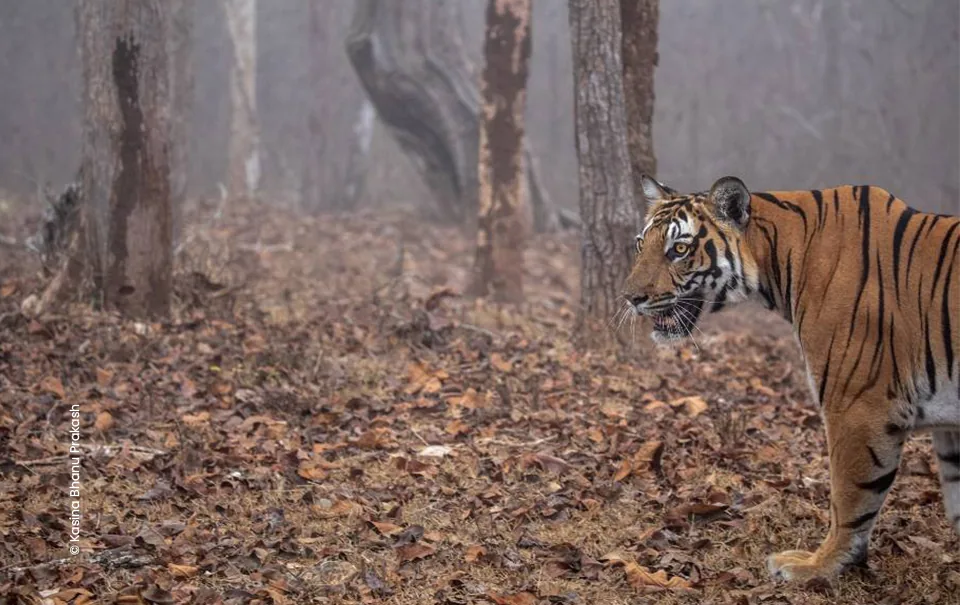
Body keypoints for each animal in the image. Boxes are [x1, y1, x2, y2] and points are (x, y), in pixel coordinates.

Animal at [620, 174, 960, 581]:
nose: (630, 298)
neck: (779, 261)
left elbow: (850, 497)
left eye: (680, 249)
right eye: (642, 244)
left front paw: (818, 566)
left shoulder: (858, 405)